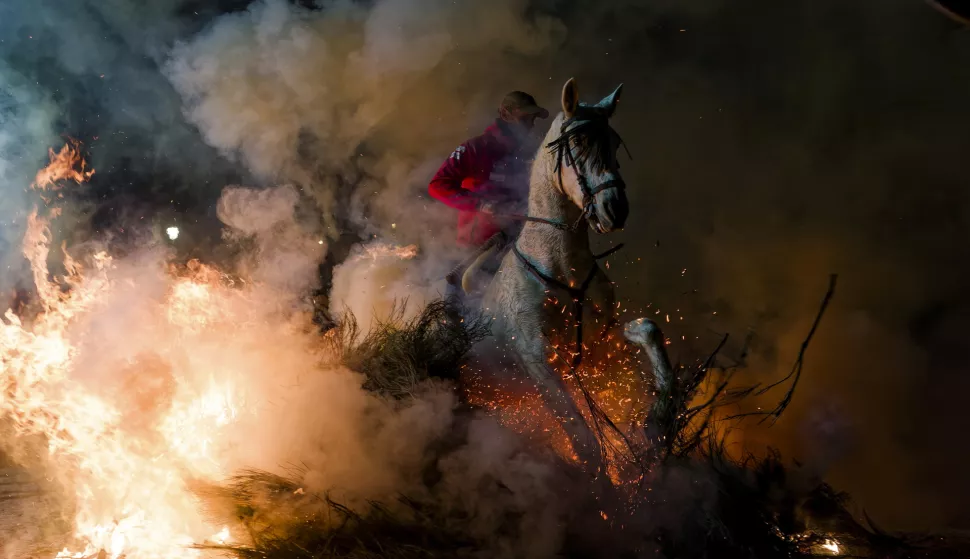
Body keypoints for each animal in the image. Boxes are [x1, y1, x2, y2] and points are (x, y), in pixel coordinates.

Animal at [470, 77, 668, 472]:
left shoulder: (600, 344)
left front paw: (658, 415)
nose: (614, 209)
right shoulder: (539, 362)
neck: (561, 267)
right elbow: (587, 445)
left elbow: (647, 330)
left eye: (613, 142)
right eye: (576, 144)